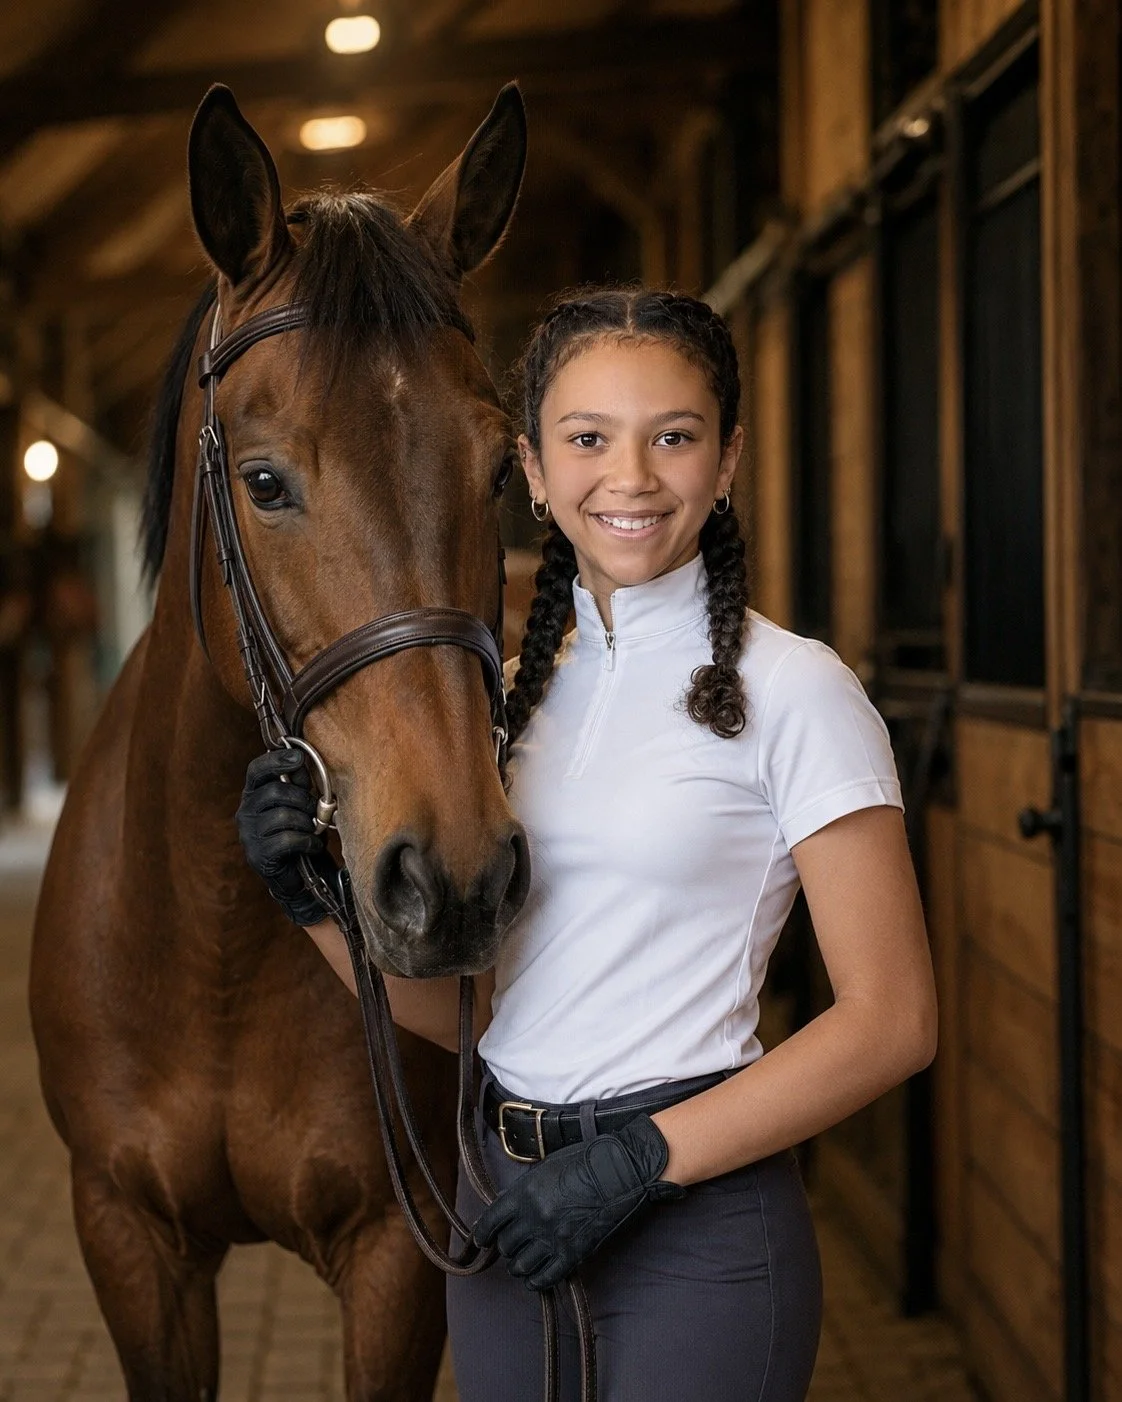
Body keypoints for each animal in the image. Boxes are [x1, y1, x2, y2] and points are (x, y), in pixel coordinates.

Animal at [29, 82, 529, 1401]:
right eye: (263, 481)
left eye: (500, 468)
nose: (456, 878)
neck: (213, 933)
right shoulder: (129, 1239)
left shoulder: (399, 1254)